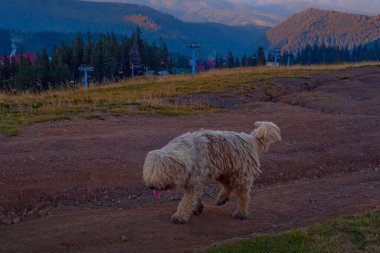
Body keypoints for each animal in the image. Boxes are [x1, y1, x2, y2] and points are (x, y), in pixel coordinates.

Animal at [144, 122, 280, 223]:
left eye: (158, 174)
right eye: (149, 174)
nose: (150, 186)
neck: (187, 153)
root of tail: (250, 139)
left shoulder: (194, 181)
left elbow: (187, 200)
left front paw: (180, 216)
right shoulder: (193, 179)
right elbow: (195, 198)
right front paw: (197, 208)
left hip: (240, 174)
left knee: (243, 195)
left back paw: (240, 212)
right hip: (223, 171)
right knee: (228, 185)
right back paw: (222, 198)